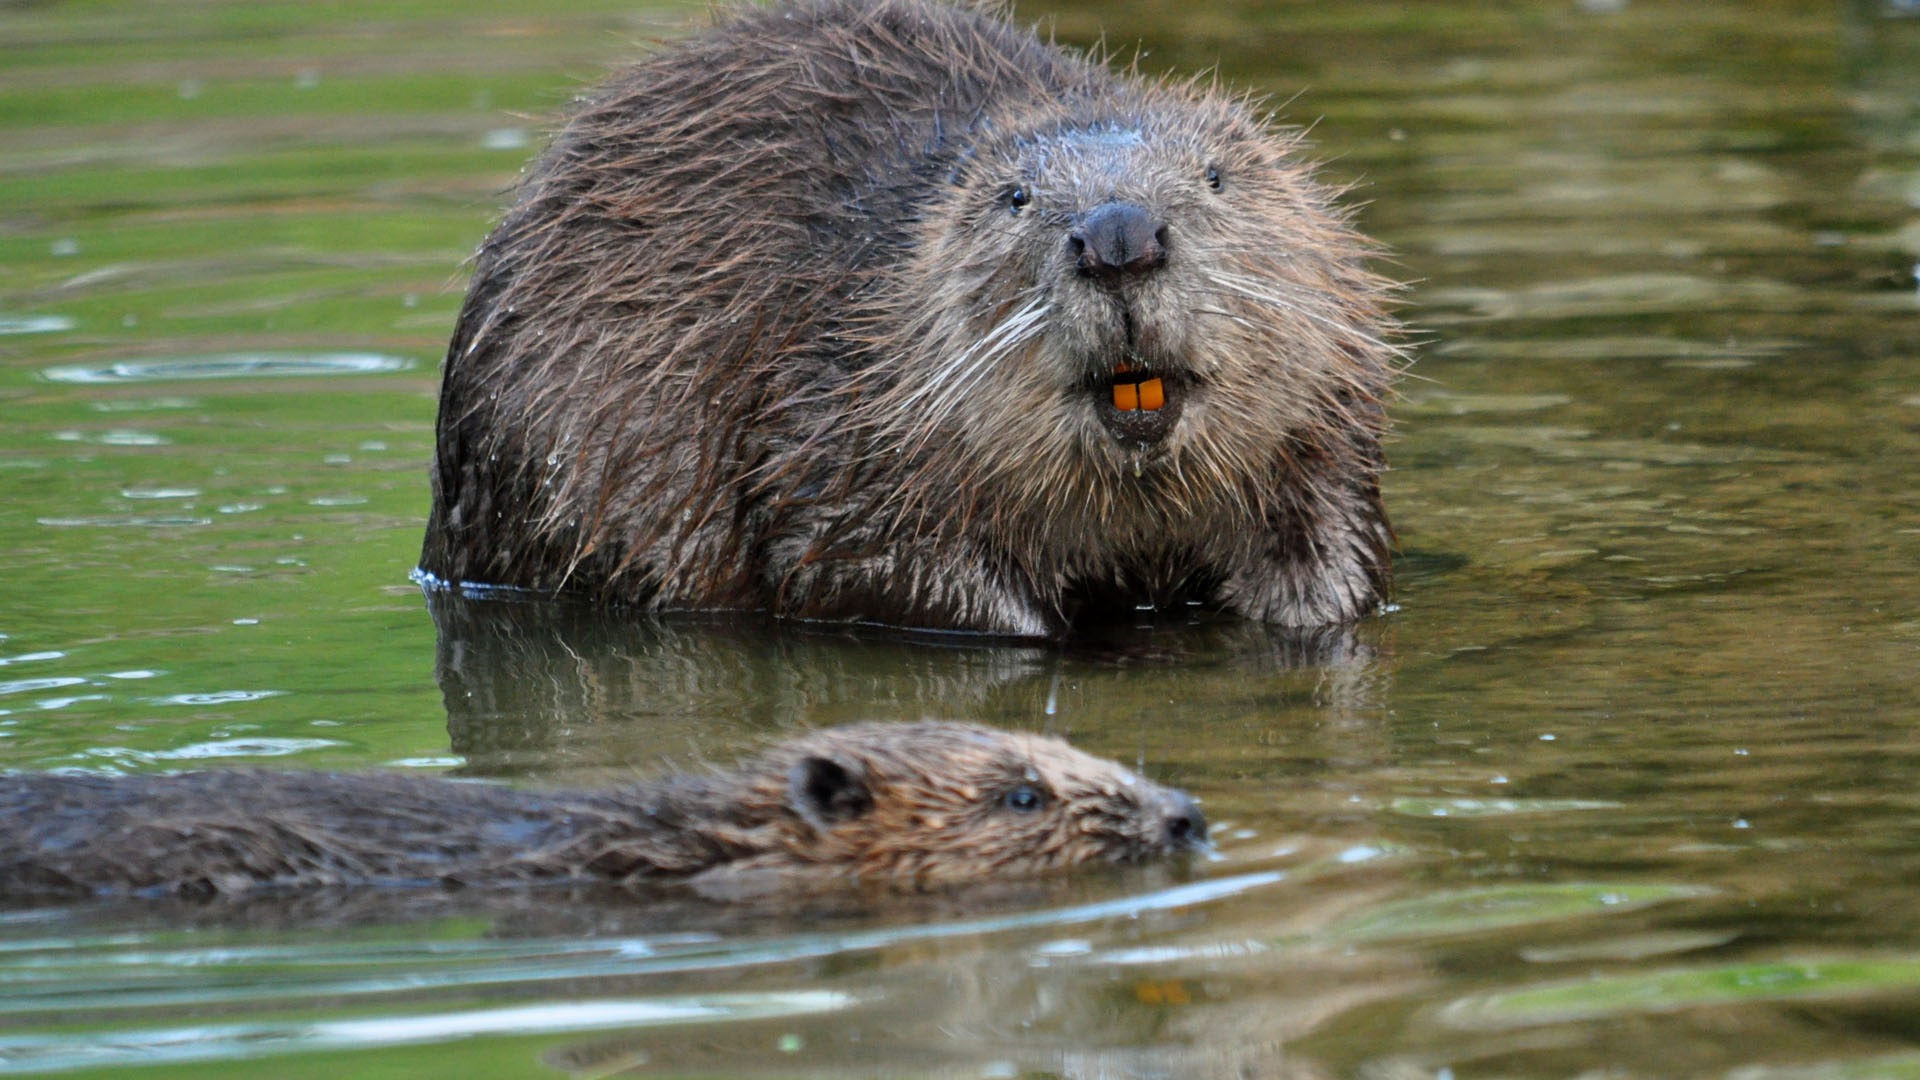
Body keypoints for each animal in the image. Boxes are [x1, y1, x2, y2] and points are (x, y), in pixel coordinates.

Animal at [420, 0, 1397, 634]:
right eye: (1015, 196)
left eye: (1216, 178)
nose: (1119, 236)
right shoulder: (826, 408)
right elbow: (851, 559)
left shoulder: (1329, 426)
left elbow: (1341, 557)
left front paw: (1306, 606)